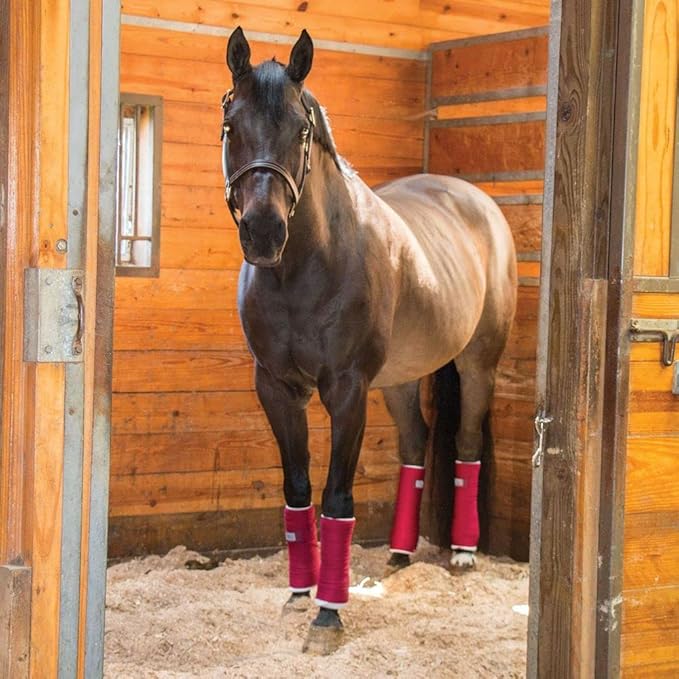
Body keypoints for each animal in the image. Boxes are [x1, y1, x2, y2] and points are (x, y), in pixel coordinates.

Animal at [221, 27, 517, 654]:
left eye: (301, 129)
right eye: (232, 125)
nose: (263, 232)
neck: (303, 268)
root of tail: (476, 200)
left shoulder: (347, 391)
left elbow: (337, 499)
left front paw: (328, 615)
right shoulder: (277, 390)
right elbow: (299, 491)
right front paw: (298, 594)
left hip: (478, 364)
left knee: (466, 440)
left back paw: (462, 553)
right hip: (401, 379)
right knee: (415, 443)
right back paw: (402, 553)